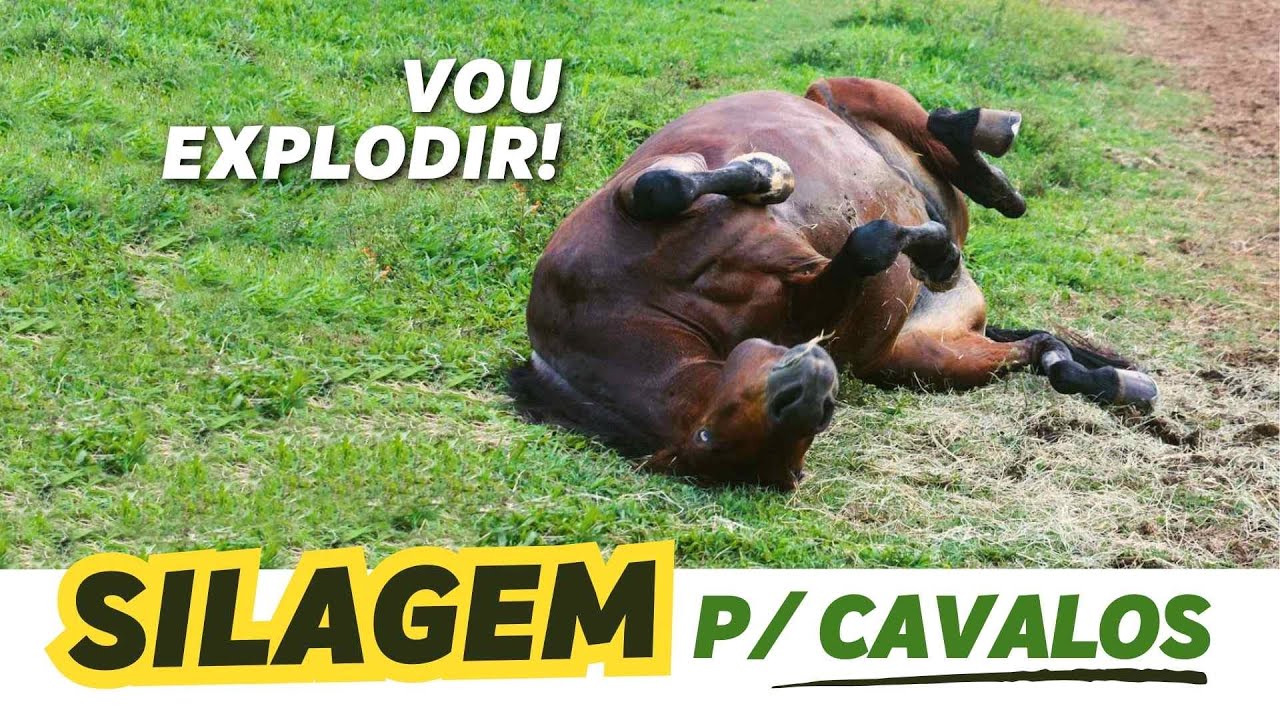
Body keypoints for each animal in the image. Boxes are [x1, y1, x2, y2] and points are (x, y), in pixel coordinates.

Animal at [510, 76, 1157, 490]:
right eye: (708, 440)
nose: (815, 388)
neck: (648, 308)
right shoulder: (811, 296)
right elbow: (868, 246)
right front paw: (926, 250)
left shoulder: (640, 193)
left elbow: (660, 187)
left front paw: (765, 174)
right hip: (928, 356)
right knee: (1041, 351)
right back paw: (1116, 383)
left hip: (852, 95)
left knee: (935, 126)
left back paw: (992, 154)